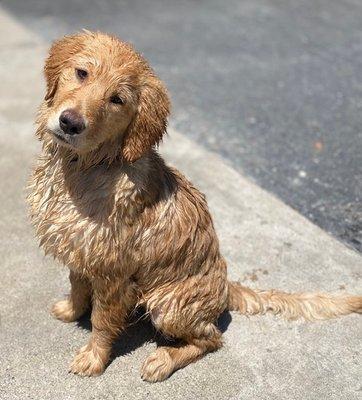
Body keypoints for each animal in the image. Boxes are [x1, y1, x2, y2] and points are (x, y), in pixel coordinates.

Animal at [28, 31, 362, 382]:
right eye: (82, 73)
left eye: (117, 99)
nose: (70, 123)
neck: (86, 167)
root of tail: (226, 288)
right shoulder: (80, 250)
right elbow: (77, 285)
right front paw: (71, 310)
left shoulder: (114, 274)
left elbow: (103, 322)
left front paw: (94, 358)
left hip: (167, 303)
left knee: (211, 339)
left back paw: (163, 360)